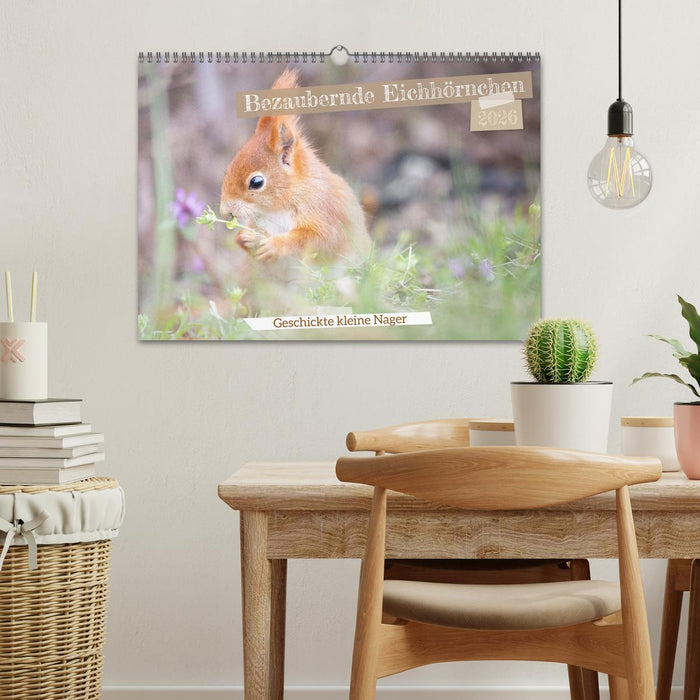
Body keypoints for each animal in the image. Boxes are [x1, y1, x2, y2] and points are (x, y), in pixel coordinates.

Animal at [220, 68, 371, 265]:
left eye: (256, 182)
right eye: (228, 169)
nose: (225, 212)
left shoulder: (326, 212)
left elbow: (322, 239)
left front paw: (274, 245)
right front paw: (245, 237)